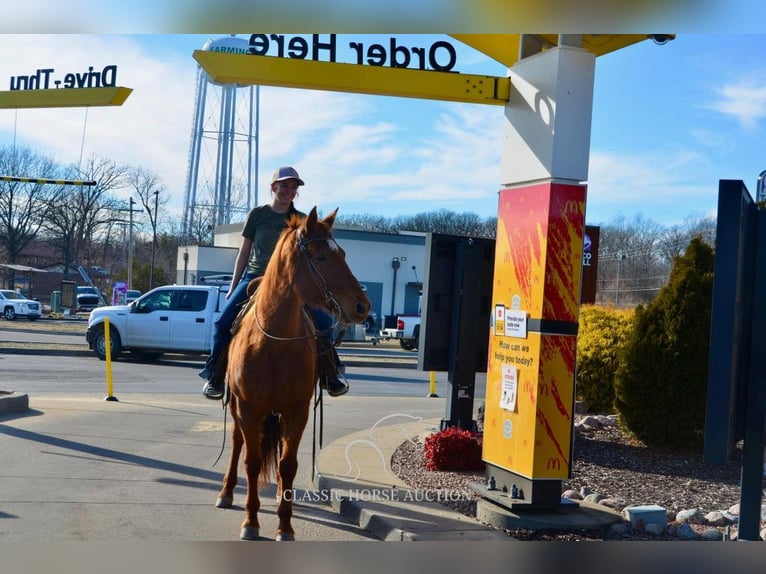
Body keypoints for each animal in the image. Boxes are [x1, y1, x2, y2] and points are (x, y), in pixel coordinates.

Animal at [216, 208, 372, 544]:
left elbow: (288, 465)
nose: (362, 306)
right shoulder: (249, 408)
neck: (274, 340)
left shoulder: (297, 411)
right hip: (236, 407)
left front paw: (284, 526)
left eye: (343, 253)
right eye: (322, 257)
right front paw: (251, 522)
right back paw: (225, 492)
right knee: (237, 443)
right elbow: (251, 461)